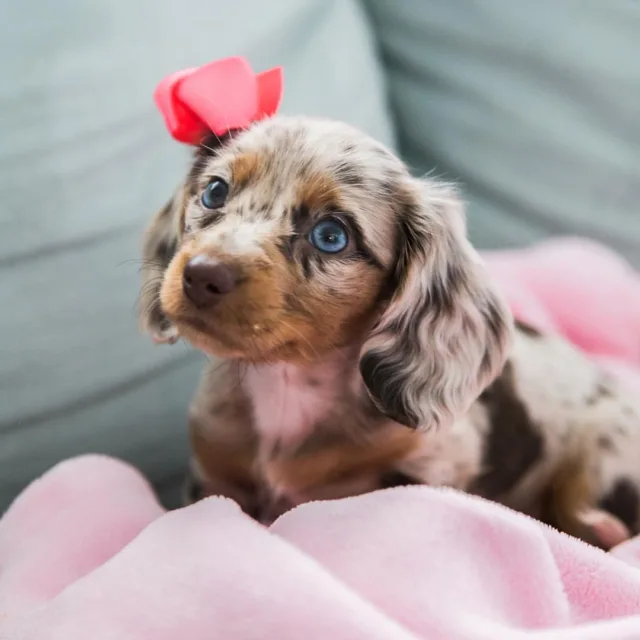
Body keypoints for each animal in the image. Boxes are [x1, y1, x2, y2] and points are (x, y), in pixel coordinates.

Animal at [142, 117, 640, 548]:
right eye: (214, 191)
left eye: (331, 235)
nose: (201, 275)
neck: (286, 386)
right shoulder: (215, 473)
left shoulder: (431, 466)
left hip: (600, 457)